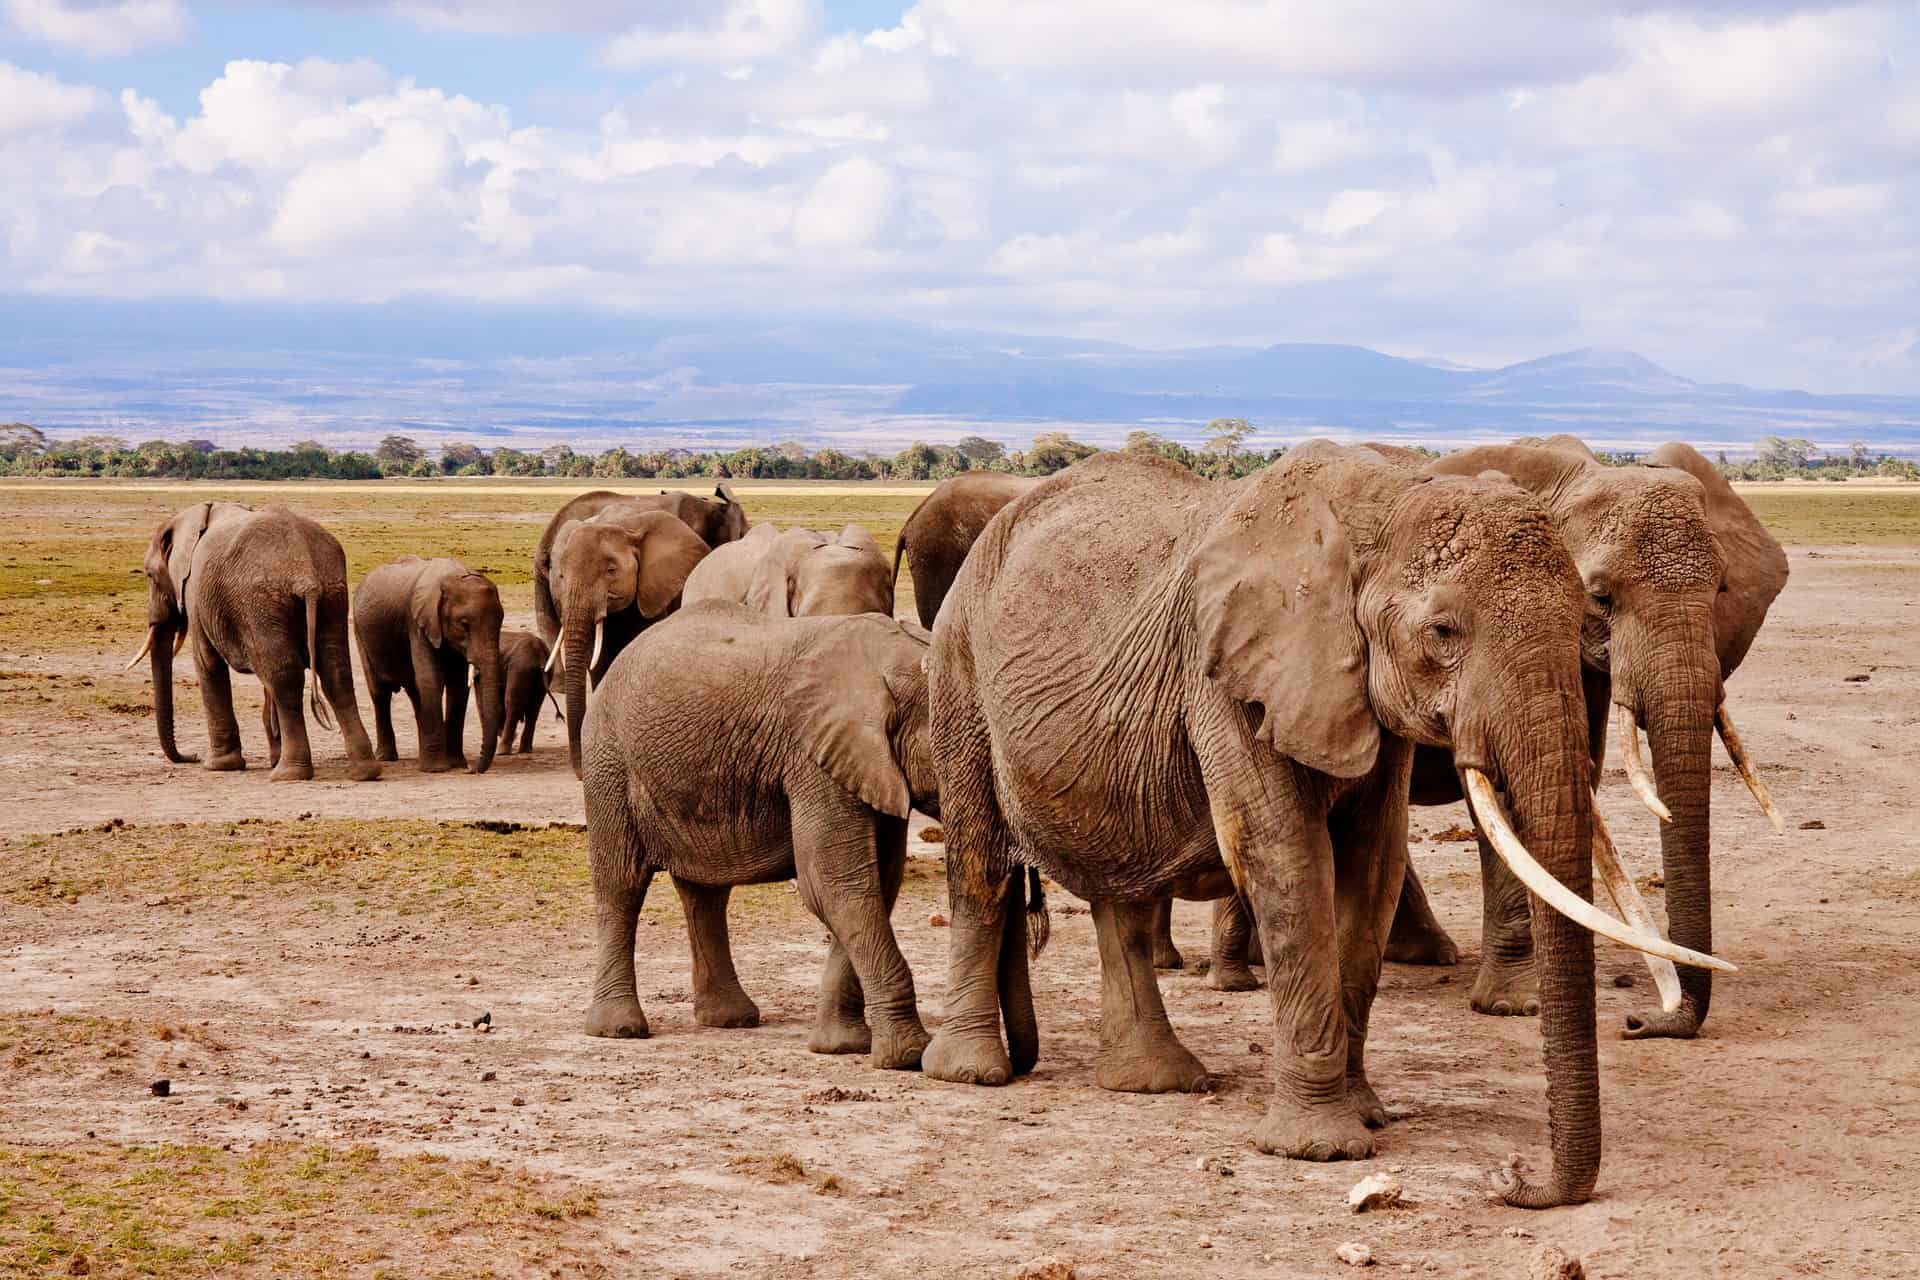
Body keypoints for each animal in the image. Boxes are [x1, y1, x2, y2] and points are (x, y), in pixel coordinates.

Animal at [125, 501, 380, 782]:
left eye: (150, 575)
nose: (191, 757)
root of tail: (305, 571)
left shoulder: (196, 593)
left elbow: (207, 663)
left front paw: (218, 765)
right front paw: (271, 757)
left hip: (261, 601)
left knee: (285, 679)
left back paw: (288, 774)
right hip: (331, 595)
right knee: (335, 674)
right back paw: (363, 771)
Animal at [353, 557, 507, 774]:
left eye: (500, 622)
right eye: (464, 624)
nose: (472, 769)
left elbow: (458, 686)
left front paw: (455, 764)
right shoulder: (418, 623)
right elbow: (430, 679)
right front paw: (437, 769)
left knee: (414, 693)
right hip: (360, 632)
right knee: (380, 693)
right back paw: (387, 758)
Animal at [547, 507, 713, 776]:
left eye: (611, 570)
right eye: (561, 575)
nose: (579, 773)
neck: (622, 526)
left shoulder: (653, 591)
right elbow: (598, 663)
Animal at [580, 604, 940, 1071]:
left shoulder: (870, 767)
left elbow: (874, 884)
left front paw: (841, 1047)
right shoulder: (814, 759)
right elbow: (835, 884)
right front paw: (909, 1056)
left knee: (705, 894)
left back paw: (729, 1020)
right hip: (608, 759)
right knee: (621, 885)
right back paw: (619, 1029)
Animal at [919, 444, 1728, 1209]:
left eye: (1582, 615)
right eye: (1442, 631)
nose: (1513, 1176)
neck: (1383, 502)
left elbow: (1372, 865)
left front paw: (1366, 1113)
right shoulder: (1228, 676)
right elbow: (1287, 856)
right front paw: (1321, 1148)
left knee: (1122, 891)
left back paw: (1153, 1082)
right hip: (958, 674)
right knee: (980, 864)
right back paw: (973, 1071)